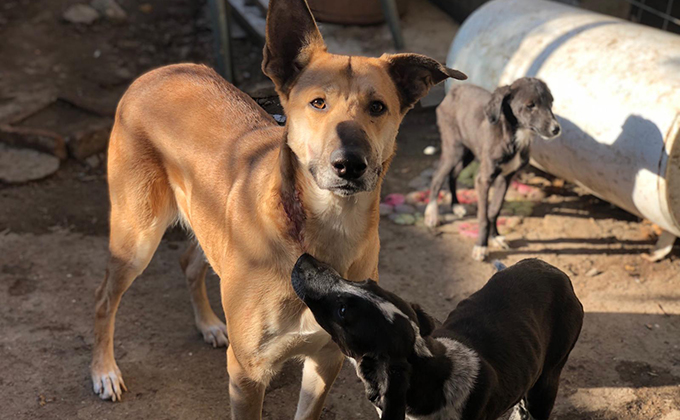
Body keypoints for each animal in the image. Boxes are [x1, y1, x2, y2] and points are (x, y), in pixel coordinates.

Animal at [91, 0, 468, 416]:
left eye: (377, 107)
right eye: (318, 103)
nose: (350, 164)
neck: (325, 233)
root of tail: (161, 70)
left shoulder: (326, 360)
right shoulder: (247, 373)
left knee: (188, 261)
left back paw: (208, 323)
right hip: (136, 238)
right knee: (104, 298)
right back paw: (104, 371)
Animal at [424, 77, 564, 260]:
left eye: (551, 102)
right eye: (530, 105)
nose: (556, 129)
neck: (514, 136)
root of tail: (456, 89)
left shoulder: (505, 178)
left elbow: (494, 211)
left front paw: (495, 237)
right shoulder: (483, 179)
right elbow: (483, 216)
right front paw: (481, 245)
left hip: (468, 152)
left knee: (452, 175)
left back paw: (456, 205)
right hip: (454, 149)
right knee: (437, 178)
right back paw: (432, 214)